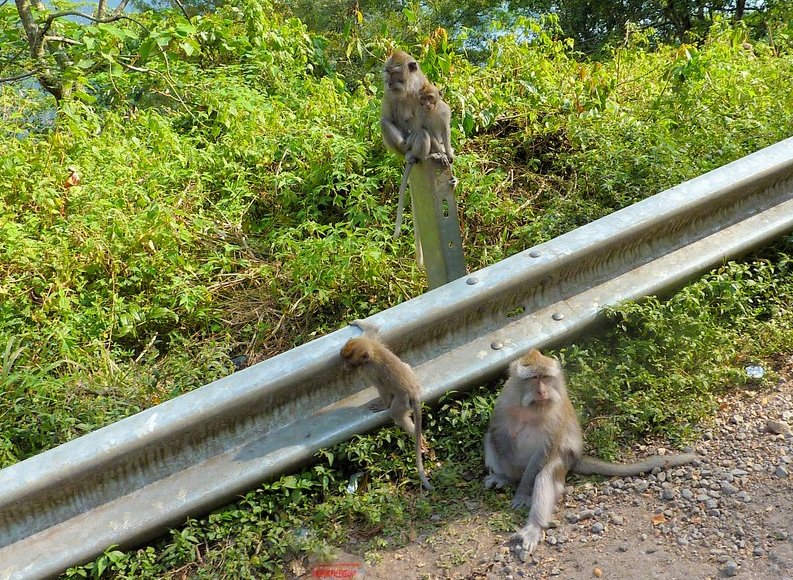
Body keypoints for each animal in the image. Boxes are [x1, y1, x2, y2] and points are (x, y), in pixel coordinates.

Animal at [336, 320, 430, 492]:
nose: (344, 368)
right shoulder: (369, 339)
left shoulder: (369, 370)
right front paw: (357, 323)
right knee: (406, 365)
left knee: (397, 415)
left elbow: (382, 387)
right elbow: (372, 328)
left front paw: (382, 405)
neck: (372, 350)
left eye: (349, 361)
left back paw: (416, 436)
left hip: (402, 401)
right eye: (343, 355)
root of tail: (414, 392)